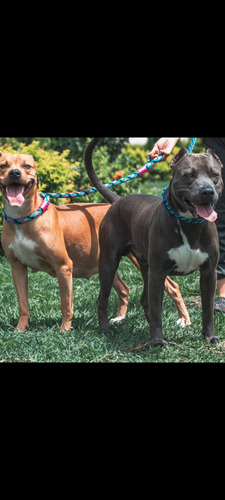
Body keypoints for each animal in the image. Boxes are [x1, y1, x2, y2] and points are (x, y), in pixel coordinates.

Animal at [0, 152, 191, 332]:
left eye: (26, 166)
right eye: (3, 165)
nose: (15, 173)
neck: (22, 219)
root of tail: (118, 202)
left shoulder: (63, 266)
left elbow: (66, 304)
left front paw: (65, 329)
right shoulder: (17, 268)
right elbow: (23, 304)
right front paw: (20, 328)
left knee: (173, 287)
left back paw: (185, 319)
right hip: (107, 264)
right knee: (124, 289)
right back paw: (120, 318)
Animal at [84, 139, 223, 346]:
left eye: (215, 175)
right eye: (189, 175)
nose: (207, 191)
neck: (188, 224)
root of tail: (118, 200)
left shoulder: (208, 272)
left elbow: (207, 310)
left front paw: (210, 336)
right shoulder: (158, 273)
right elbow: (157, 309)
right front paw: (157, 341)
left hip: (145, 267)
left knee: (144, 300)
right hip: (109, 263)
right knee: (103, 298)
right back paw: (105, 329)